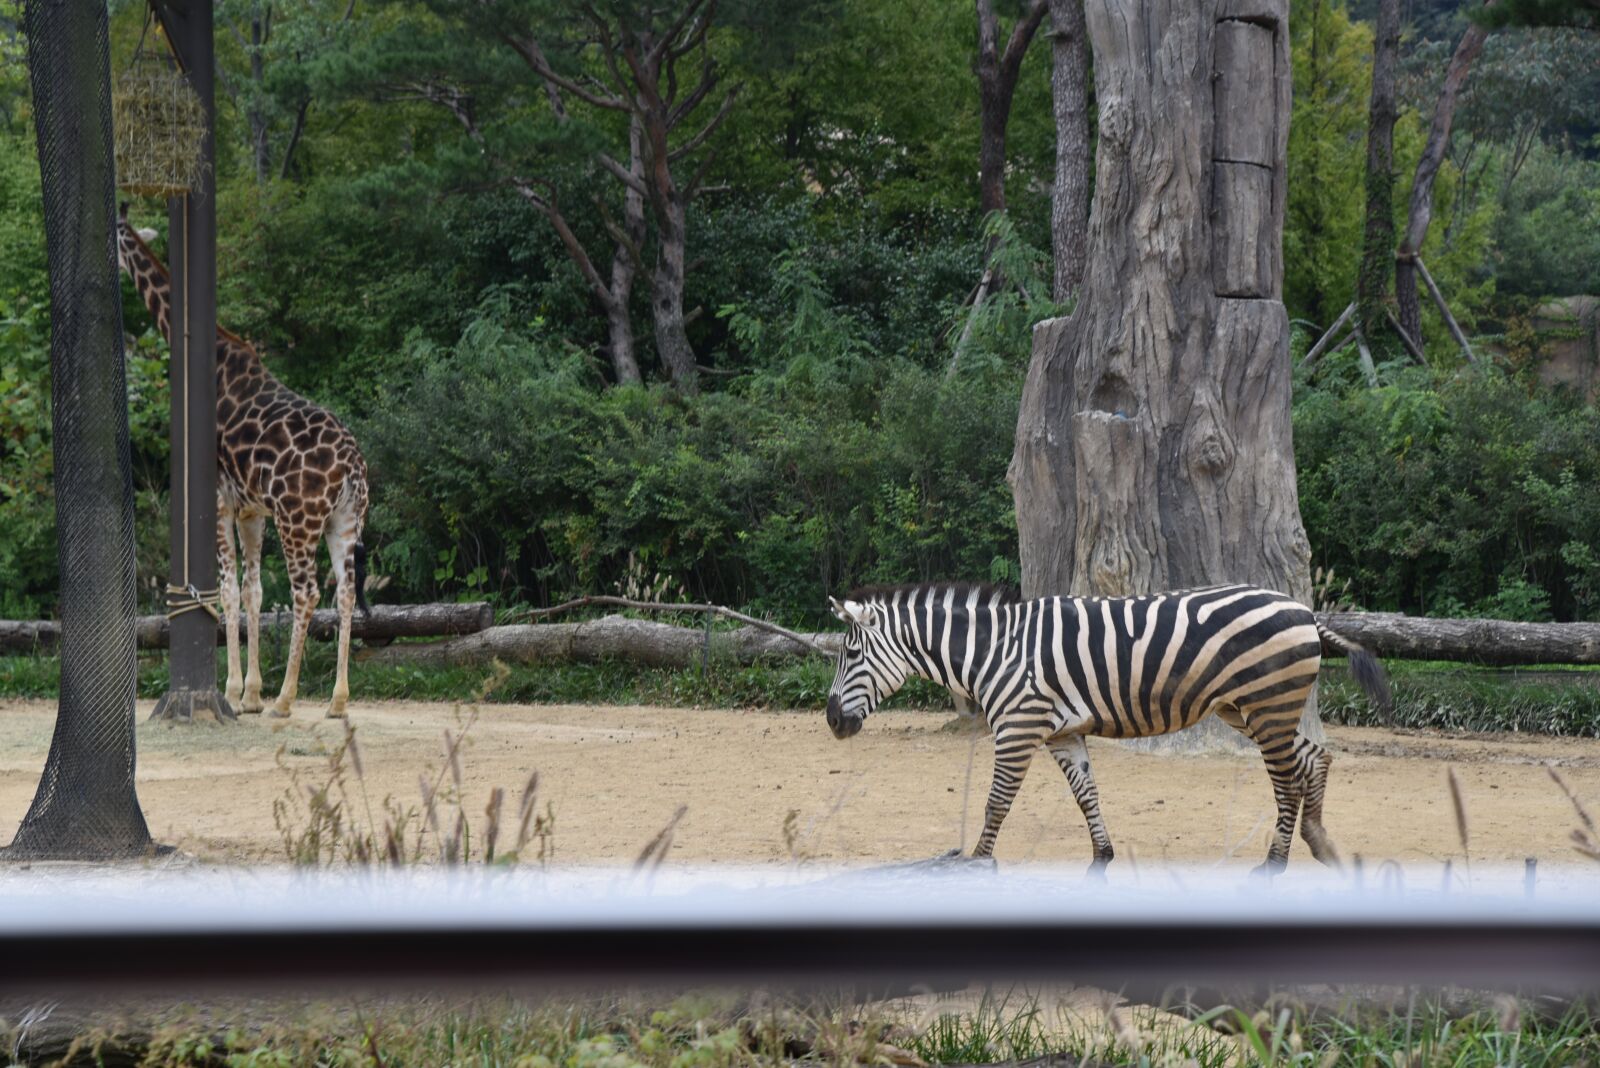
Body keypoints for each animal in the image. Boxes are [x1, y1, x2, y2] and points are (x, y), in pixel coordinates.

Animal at [117, 204, 370, 719]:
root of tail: (353, 467)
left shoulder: (219, 500)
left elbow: (229, 591)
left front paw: (235, 692)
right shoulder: (253, 510)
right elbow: (254, 592)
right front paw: (250, 692)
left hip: (299, 521)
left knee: (307, 592)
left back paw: (286, 699)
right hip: (345, 521)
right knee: (346, 591)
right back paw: (337, 701)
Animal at [824, 582, 1392, 875]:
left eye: (850, 654)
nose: (831, 720)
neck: (993, 651)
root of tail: (1303, 608)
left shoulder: (1018, 727)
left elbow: (995, 802)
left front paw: (976, 867)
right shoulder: (1061, 733)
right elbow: (1087, 795)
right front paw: (1102, 858)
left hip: (1267, 703)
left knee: (1288, 778)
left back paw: (1275, 863)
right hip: (1251, 707)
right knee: (1314, 757)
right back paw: (1319, 842)